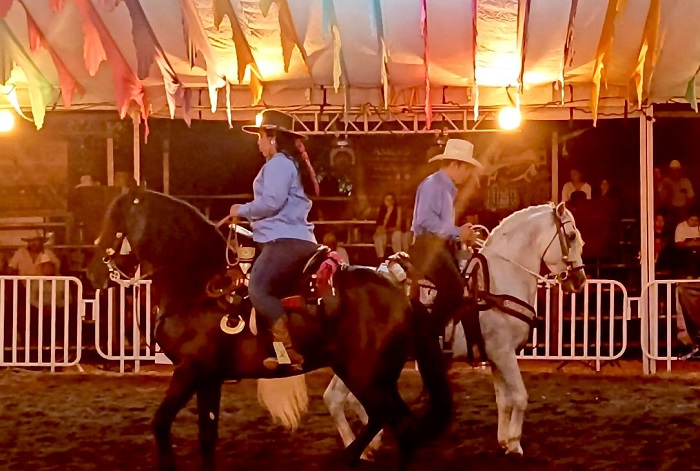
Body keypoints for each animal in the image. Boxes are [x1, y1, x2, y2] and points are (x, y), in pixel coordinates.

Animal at [87, 189, 452, 471]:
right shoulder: (209, 376)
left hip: (368, 375)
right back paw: (350, 456)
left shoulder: (189, 371)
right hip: (363, 373)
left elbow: (161, 424)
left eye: (114, 222)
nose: (92, 273)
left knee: (401, 426)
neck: (200, 285)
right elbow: (207, 435)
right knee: (386, 419)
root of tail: (399, 293)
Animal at [322, 204, 584, 460]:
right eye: (571, 236)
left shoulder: (495, 357)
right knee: (337, 398)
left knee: (343, 397)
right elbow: (520, 397)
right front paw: (514, 444)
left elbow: (504, 400)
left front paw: (503, 441)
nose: (579, 280)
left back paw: (371, 444)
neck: (499, 281)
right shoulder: (504, 353)